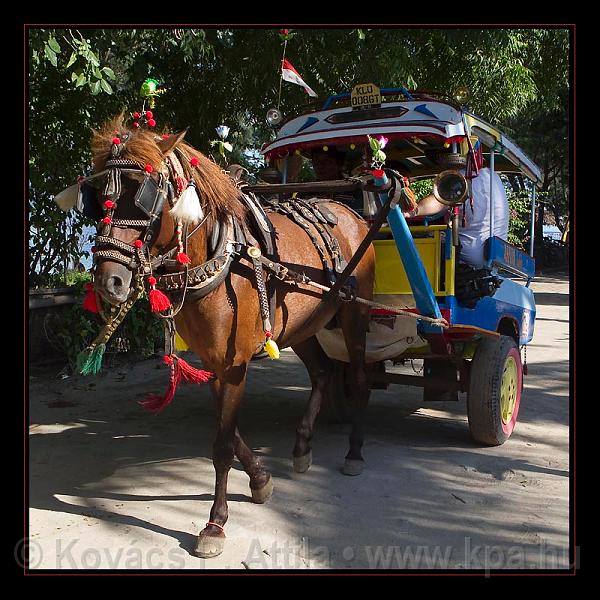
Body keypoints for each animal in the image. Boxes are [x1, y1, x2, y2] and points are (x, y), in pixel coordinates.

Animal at [88, 115, 376, 560]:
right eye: (96, 193)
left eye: (143, 194)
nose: (109, 282)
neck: (219, 256)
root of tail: (348, 210)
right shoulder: (213, 362)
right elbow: (231, 434)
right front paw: (260, 479)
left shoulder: (235, 363)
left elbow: (222, 445)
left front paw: (215, 523)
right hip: (301, 324)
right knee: (323, 374)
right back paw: (302, 446)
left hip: (353, 315)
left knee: (358, 380)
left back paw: (355, 451)